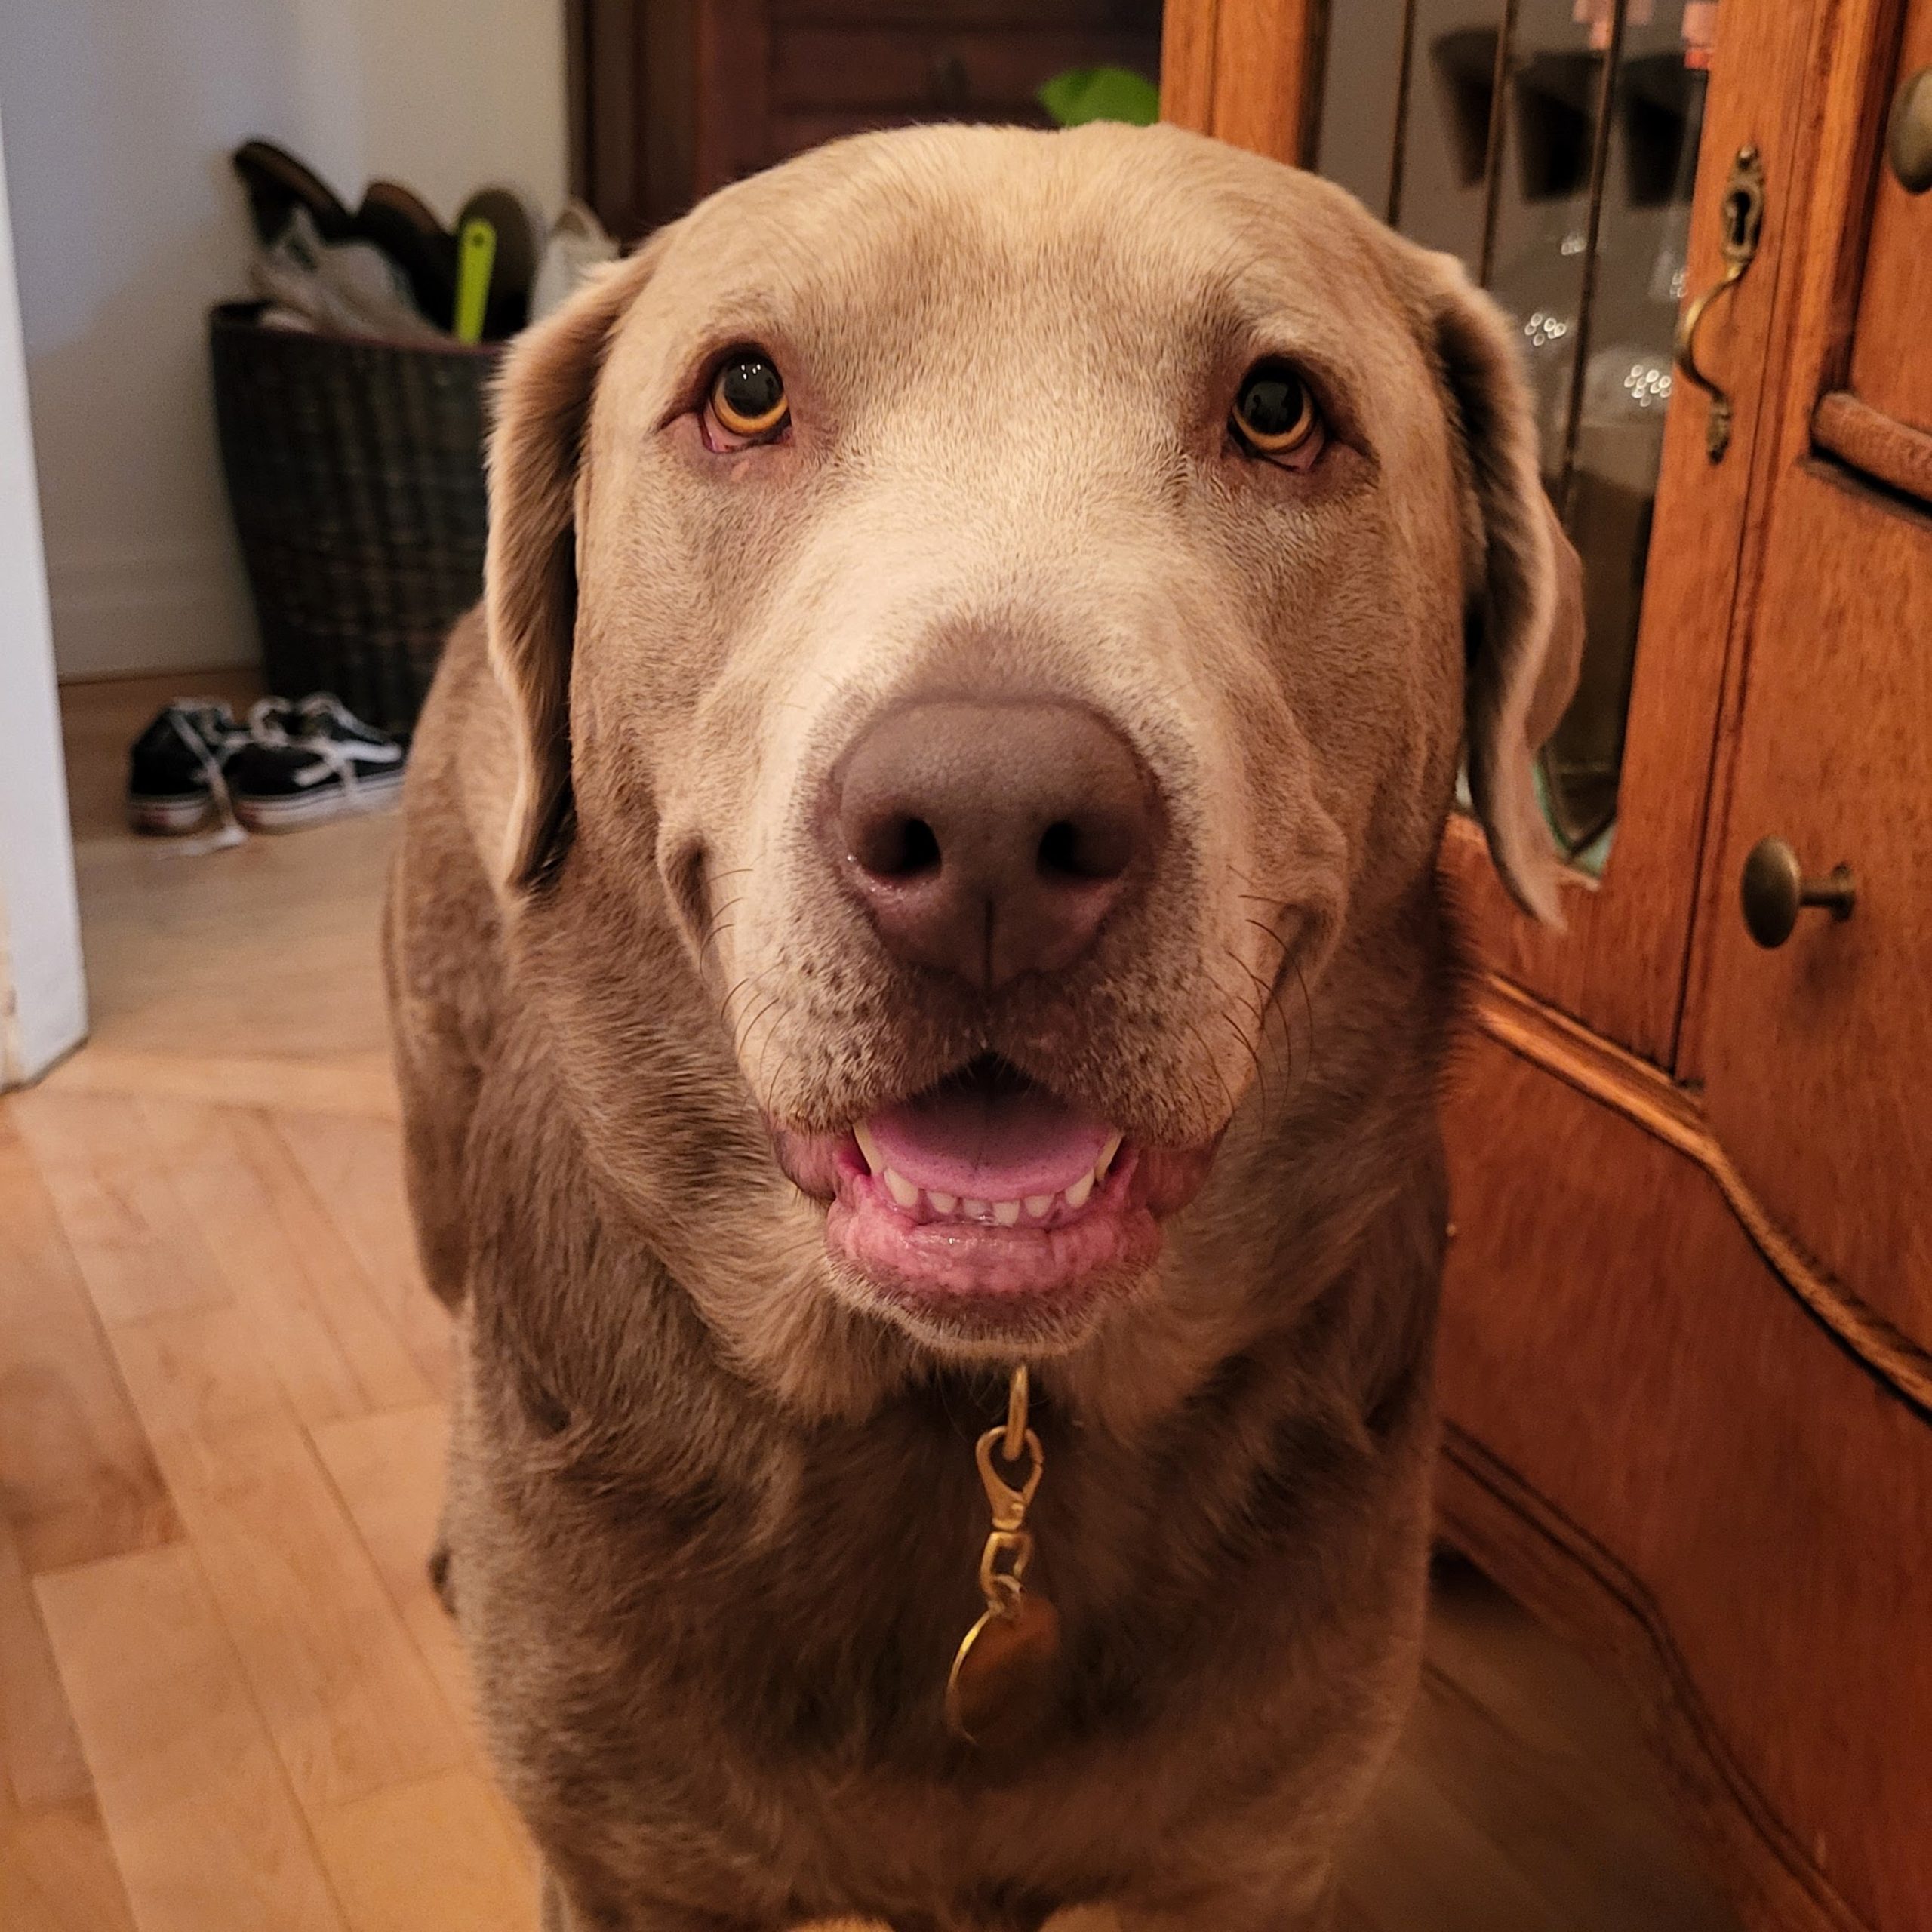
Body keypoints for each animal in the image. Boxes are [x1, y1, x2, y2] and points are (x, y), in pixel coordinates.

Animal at [385, 119, 1583, 1932]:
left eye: (1278, 409)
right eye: (745, 394)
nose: (991, 828)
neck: (981, 1417)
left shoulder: (1242, 1860)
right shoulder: (628, 1864)